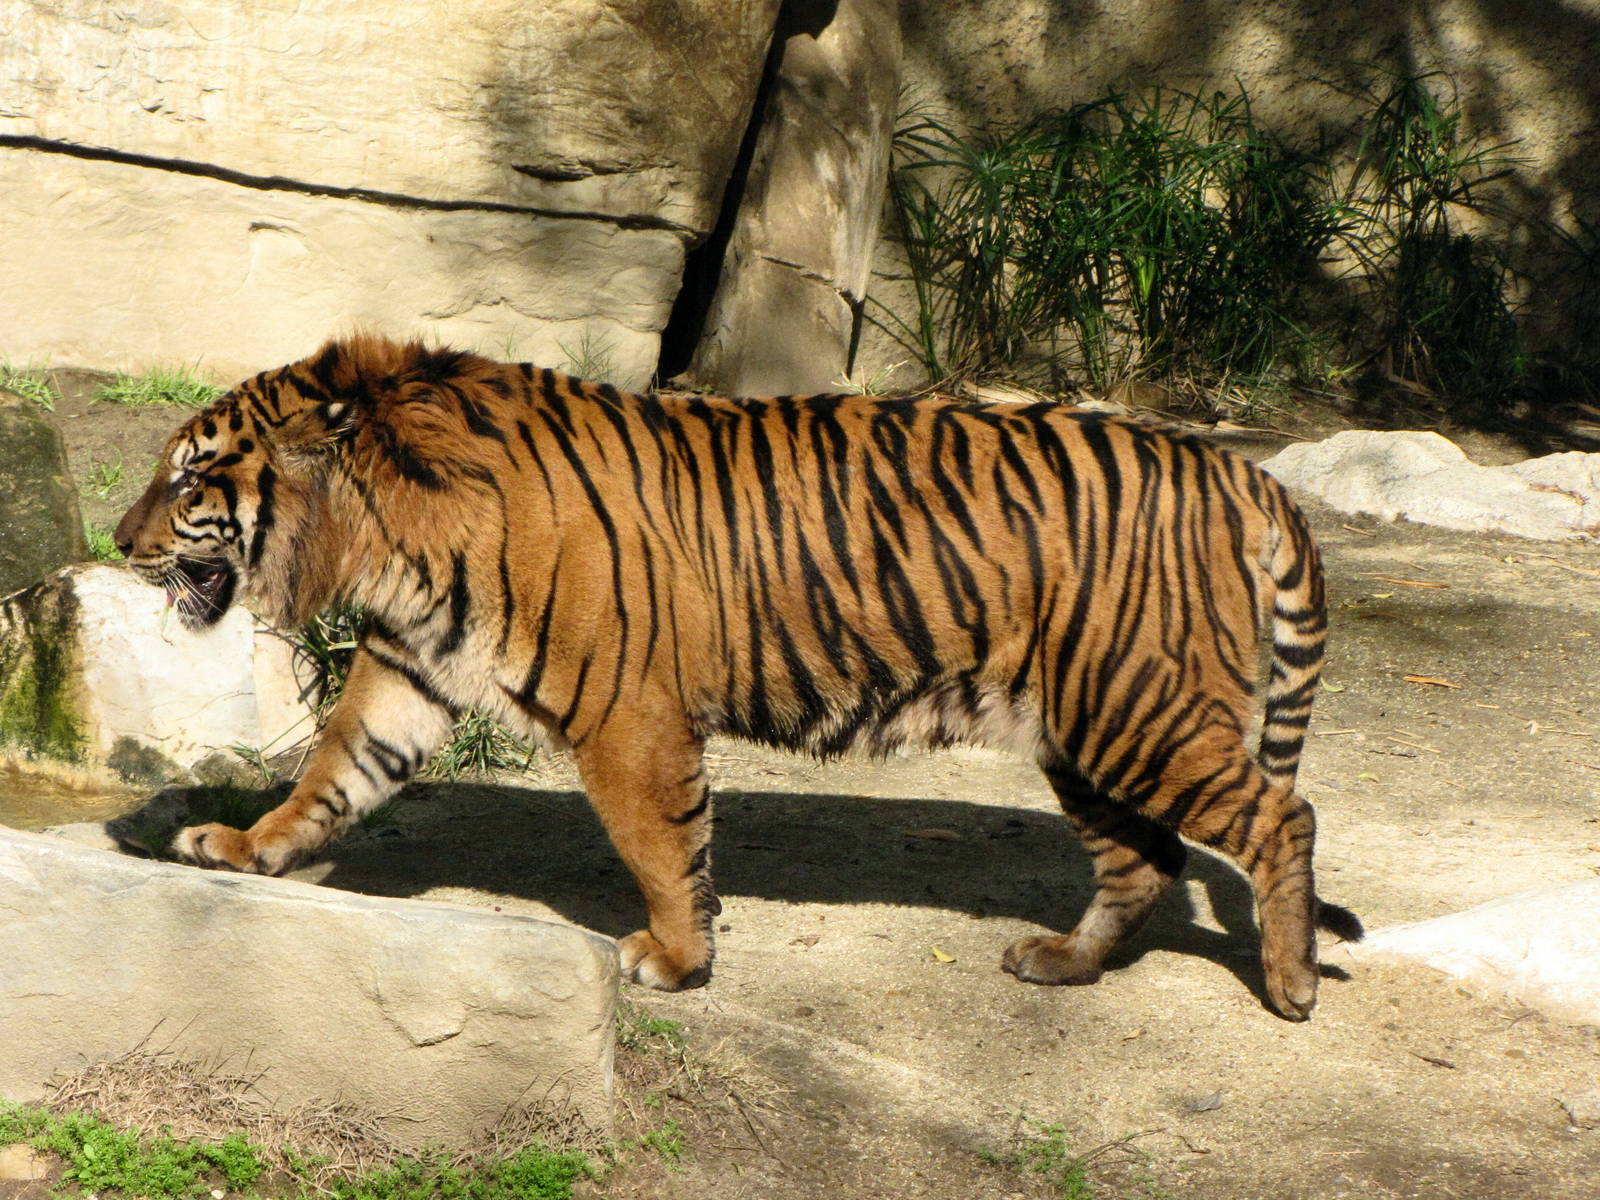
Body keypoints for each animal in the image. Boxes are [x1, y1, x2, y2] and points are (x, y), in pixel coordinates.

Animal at [115, 334, 1362, 1020]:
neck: (386, 533)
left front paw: (673, 960)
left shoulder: (626, 711)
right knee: (1146, 858)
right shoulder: (409, 667)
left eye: (189, 481)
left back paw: (1291, 984)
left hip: (1133, 712)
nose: (121, 542)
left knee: (1280, 814)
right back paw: (1062, 963)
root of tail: (1240, 472)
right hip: (1082, 734)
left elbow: (660, 844)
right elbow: (335, 770)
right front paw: (246, 848)